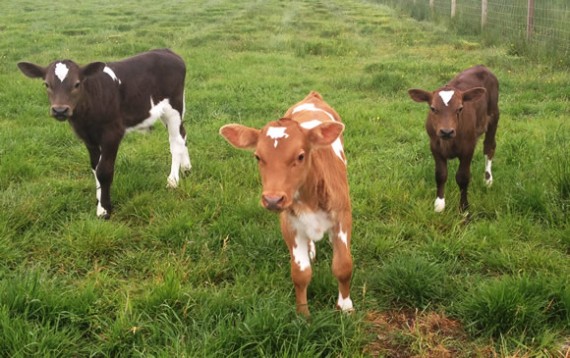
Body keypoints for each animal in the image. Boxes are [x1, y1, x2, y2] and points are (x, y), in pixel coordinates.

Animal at [17, 49, 191, 220]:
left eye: (77, 84)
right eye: (46, 84)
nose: (60, 110)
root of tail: (168, 52)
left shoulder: (112, 134)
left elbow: (104, 171)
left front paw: (105, 210)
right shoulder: (88, 138)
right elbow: (95, 168)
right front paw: (99, 200)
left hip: (174, 107)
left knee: (176, 141)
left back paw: (173, 180)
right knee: (183, 134)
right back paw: (186, 167)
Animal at [220, 91, 352, 314]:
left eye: (300, 156)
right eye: (258, 157)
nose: (272, 199)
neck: (310, 200)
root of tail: (313, 96)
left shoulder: (343, 216)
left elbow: (343, 266)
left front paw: (346, 307)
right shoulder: (289, 224)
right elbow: (300, 273)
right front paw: (303, 314)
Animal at [408, 64, 496, 213]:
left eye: (460, 108)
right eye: (433, 108)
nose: (446, 131)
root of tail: (481, 66)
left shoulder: (468, 147)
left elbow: (463, 177)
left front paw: (464, 209)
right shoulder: (434, 146)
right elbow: (440, 174)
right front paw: (439, 205)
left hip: (494, 116)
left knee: (489, 147)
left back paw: (488, 179)